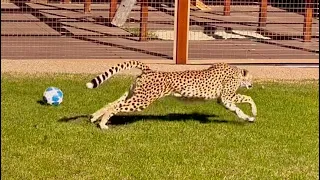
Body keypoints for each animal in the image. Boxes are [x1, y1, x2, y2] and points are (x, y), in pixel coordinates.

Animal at [85, 60, 258, 129]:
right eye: (251, 79)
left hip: (135, 94)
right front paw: (254, 112)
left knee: (112, 103)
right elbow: (248, 98)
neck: (236, 72)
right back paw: (103, 124)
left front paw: (248, 118)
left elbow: (238, 110)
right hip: (142, 100)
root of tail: (149, 70)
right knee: (116, 106)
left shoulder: (223, 101)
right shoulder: (226, 97)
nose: (251, 85)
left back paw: (94, 118)